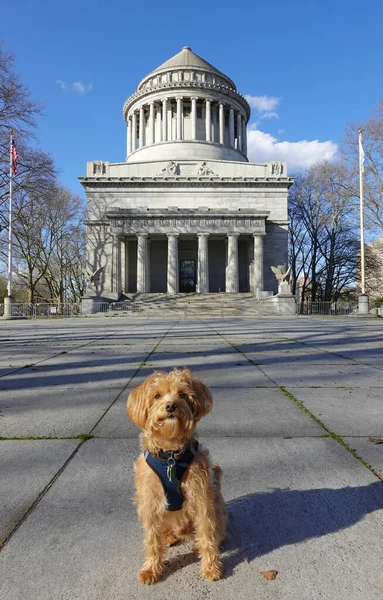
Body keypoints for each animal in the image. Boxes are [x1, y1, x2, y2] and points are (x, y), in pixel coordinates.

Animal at [126, 368, 228, 584]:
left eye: (181, 394)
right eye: (157, 396)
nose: (171, 405)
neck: (170, 454)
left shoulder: (201, 497)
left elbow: (206, 533)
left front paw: (211, 567)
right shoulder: (150, 500)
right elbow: (152, 539)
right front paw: (151, 569)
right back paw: (169, 537)